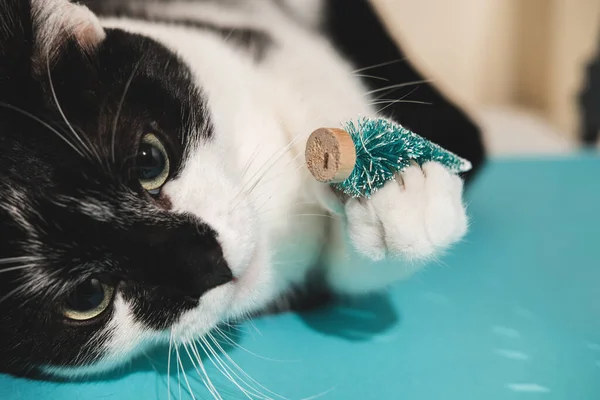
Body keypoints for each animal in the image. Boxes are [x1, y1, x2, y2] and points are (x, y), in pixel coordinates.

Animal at [0, 0, 486, 382]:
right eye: (87, 296)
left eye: (149, 160)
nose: (210, 265)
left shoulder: (254, 44)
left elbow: (311, 82)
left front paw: (398, 180)